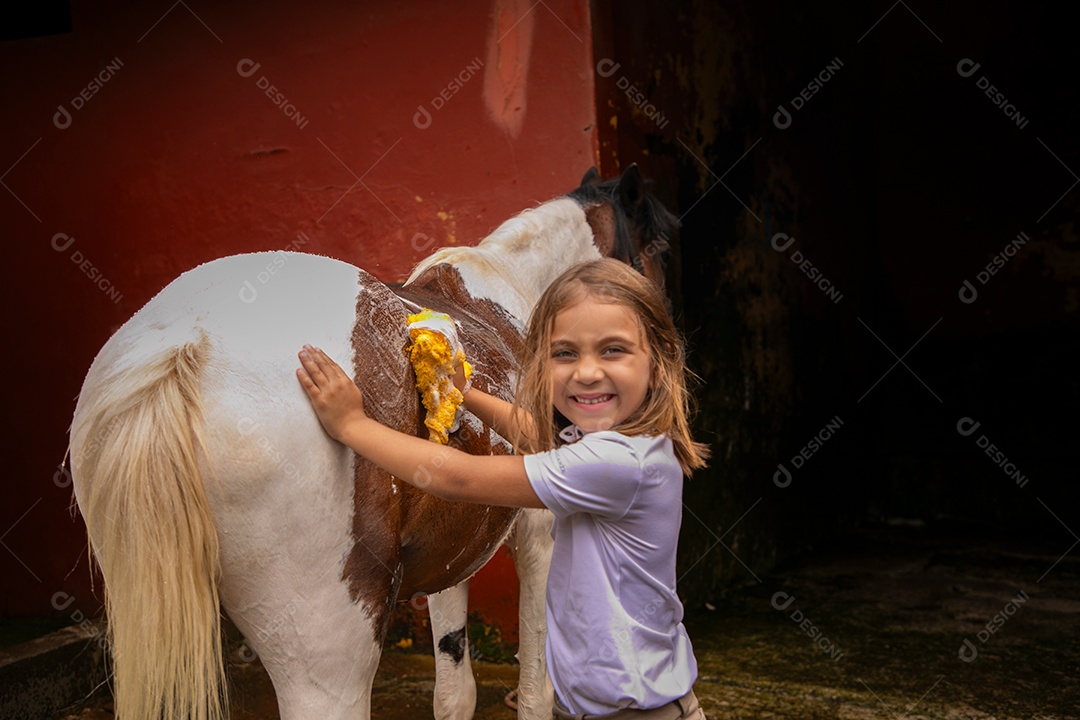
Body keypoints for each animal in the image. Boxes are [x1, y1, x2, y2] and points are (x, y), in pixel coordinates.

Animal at [66, 164, 677, 720]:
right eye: (662, 250)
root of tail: (185, 346)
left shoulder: (455, 541)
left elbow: (454, 692)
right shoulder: (540, 534)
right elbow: (535, 691)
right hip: (329, 649)